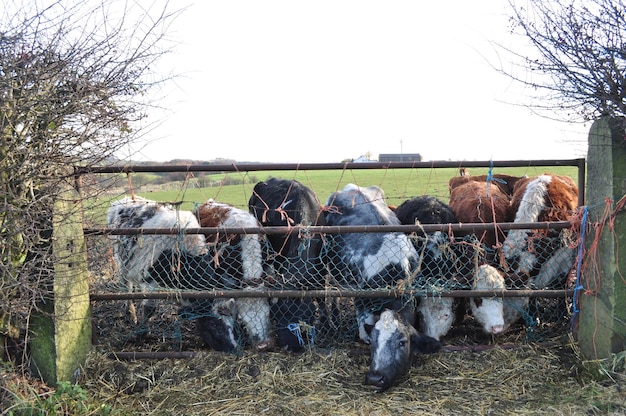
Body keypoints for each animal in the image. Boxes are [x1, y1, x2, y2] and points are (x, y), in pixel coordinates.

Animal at [247, 177, 330, 352]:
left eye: (302, 315)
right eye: (277, 314)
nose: (289, 347)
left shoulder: (322, 269)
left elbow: (321, 297)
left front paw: (327, 325)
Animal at [322, 184, 438, 392]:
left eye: (402, 342)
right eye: (374, 342)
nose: (375, 378)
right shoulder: (362, 297)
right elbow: (363, 318)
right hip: (332, 269)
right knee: (334, 292)